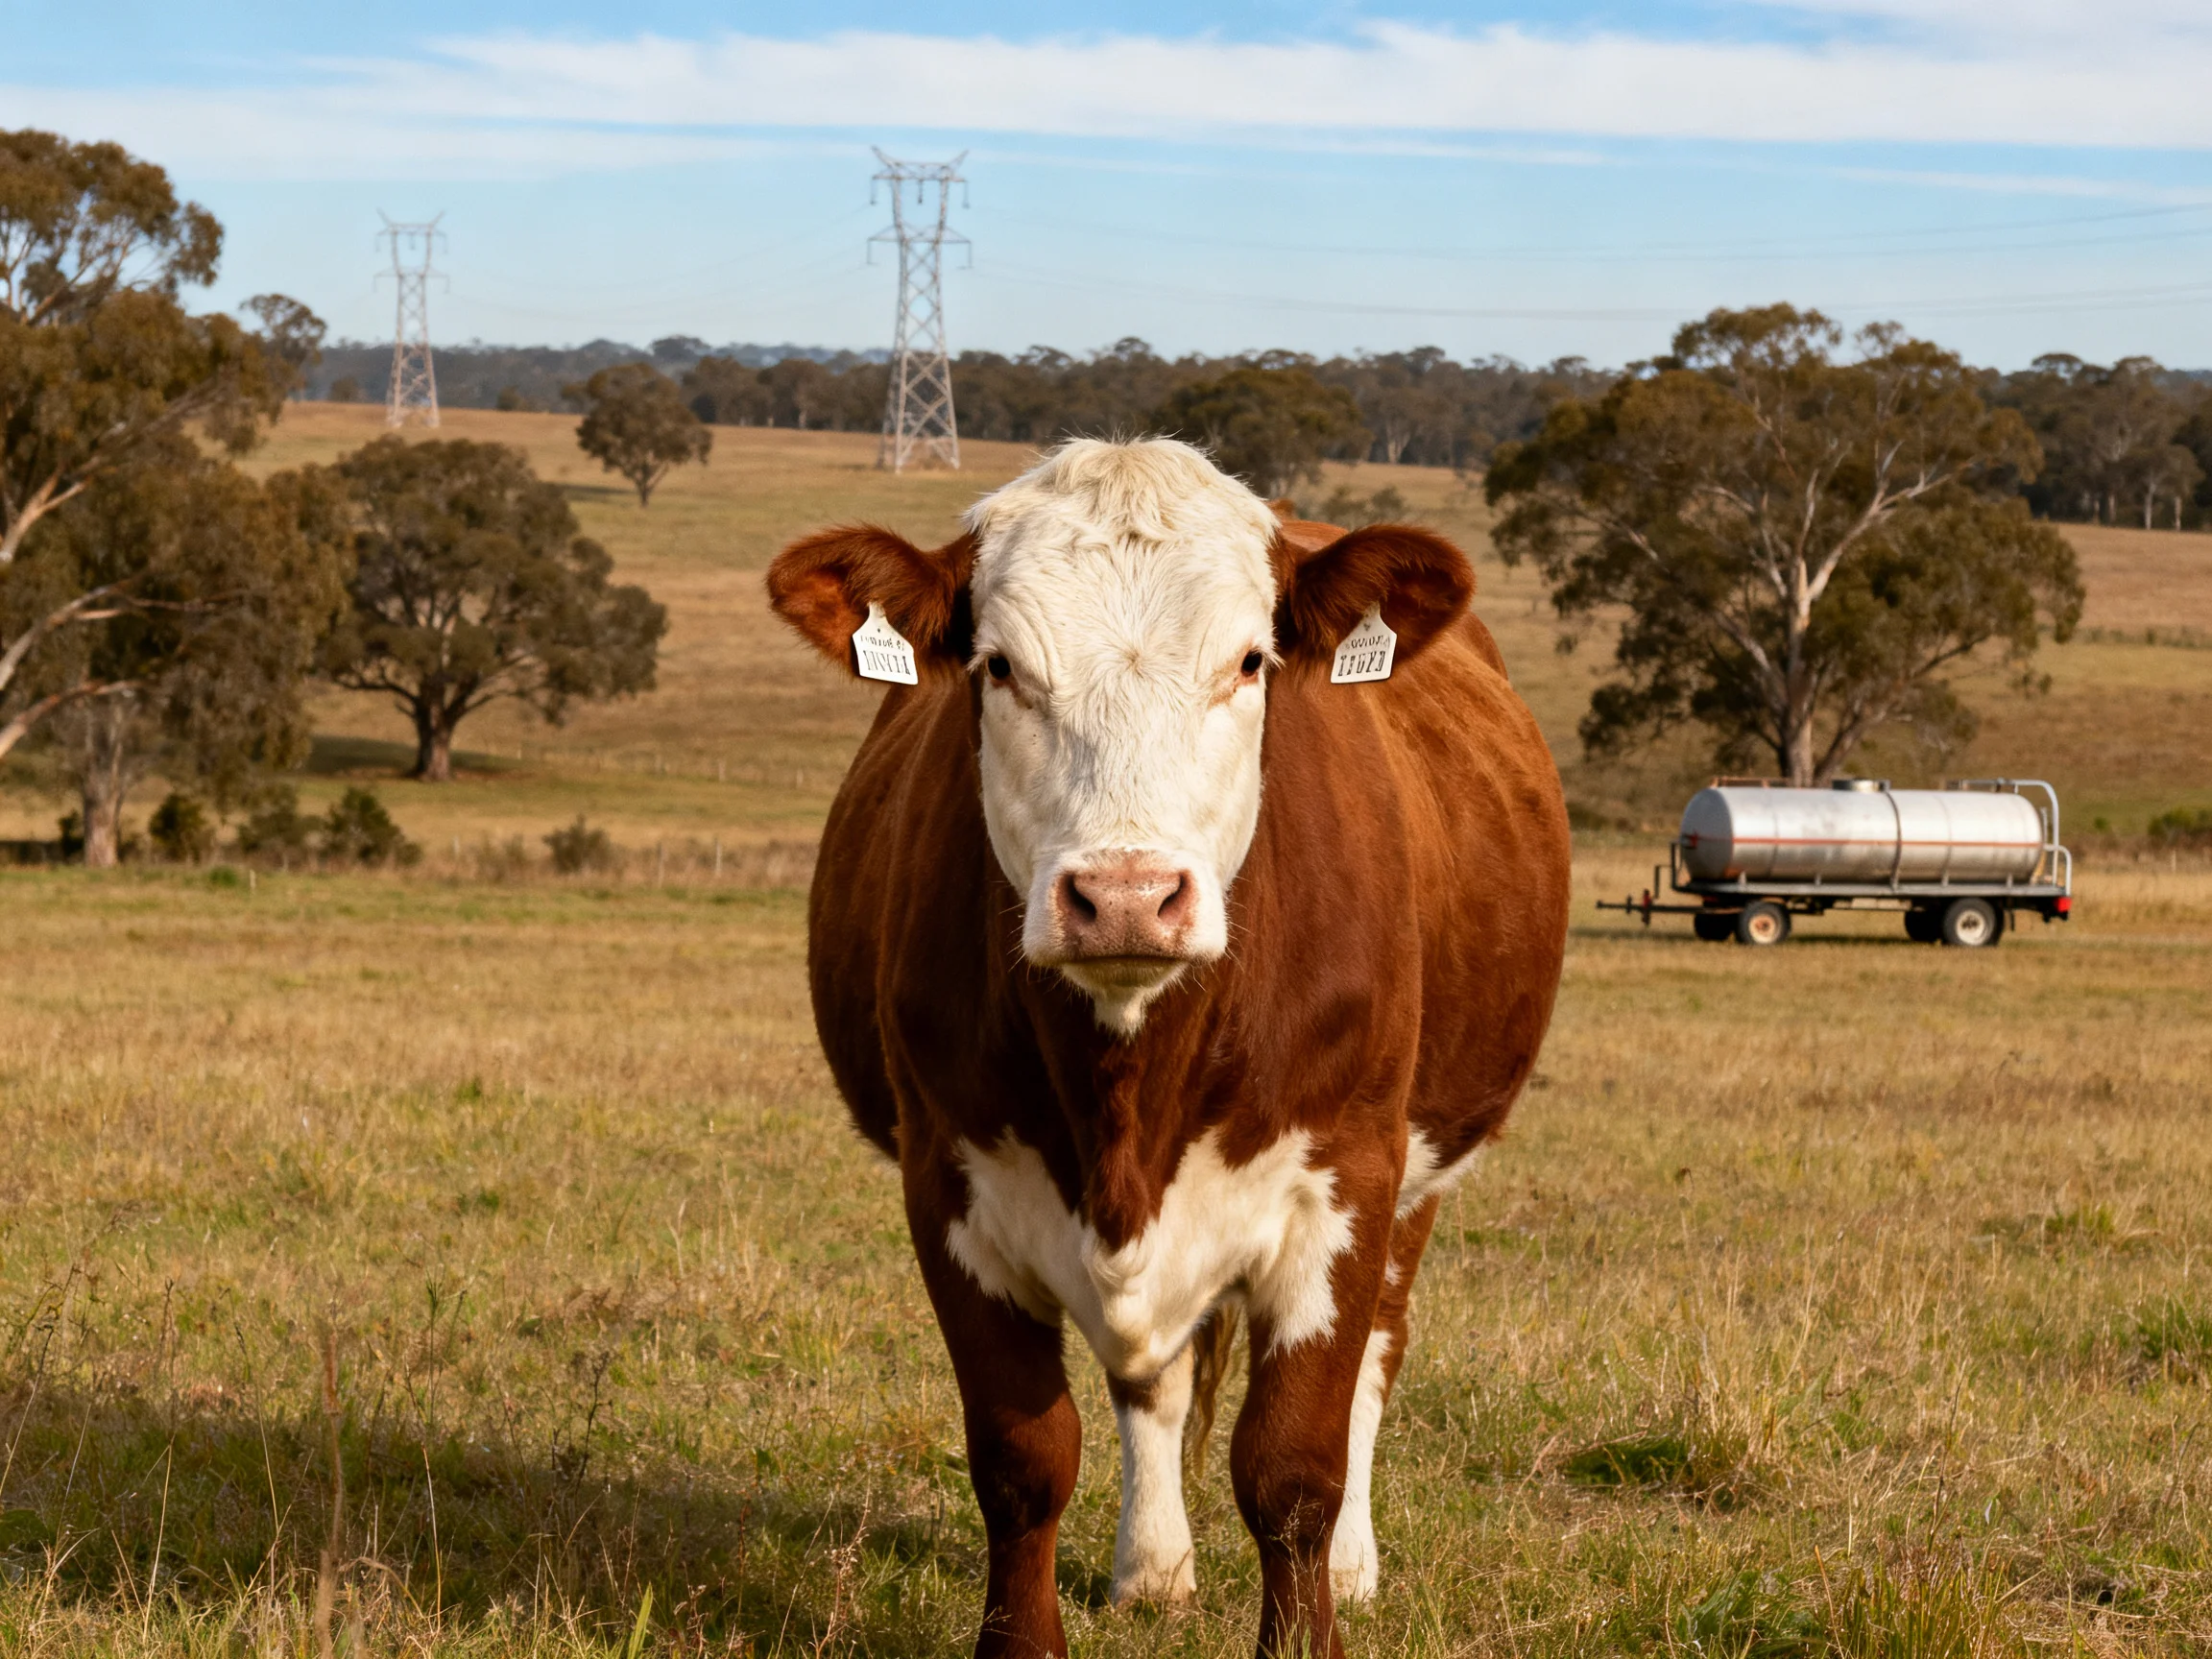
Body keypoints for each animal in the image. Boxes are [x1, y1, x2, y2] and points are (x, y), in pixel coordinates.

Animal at [766, 438, 1570, 1659]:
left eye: (1249, 662)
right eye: (999, 667)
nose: (1128, 896)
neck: (1128, 1087)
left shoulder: (1348, 1174)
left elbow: (1293, 1467)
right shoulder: (947, 1181)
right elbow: (1024, 1461)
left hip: (1422, 1172)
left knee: (1377, 1354)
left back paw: (1355, 1564)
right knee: (1158, 1384)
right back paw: (1152, 1569)